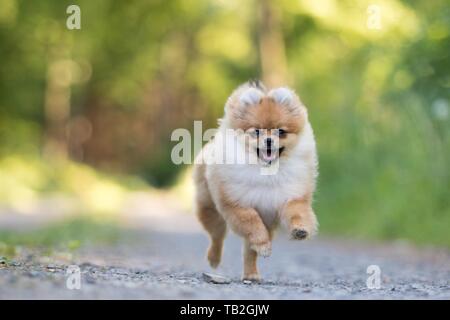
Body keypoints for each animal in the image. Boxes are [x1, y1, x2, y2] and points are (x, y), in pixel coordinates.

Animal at [192, 80, 316, 282]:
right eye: (256, 132)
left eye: (280, 132)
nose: (268, 140)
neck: (266, 172)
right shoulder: (238, 205)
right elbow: (253, 224)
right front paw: (263, 244)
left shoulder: (290, 198)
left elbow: (296, 214)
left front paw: (299, 230)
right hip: (210, 208)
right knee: (217, 235)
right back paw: (214, 259)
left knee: (248, 251)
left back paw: (251, 274)